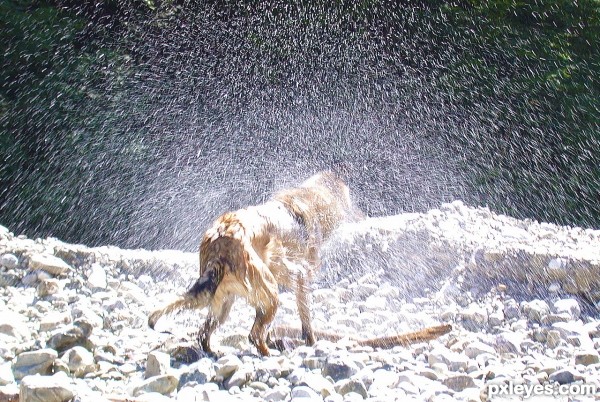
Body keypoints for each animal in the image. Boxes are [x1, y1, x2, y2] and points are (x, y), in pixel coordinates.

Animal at [149, 170, 450, 354]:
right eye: (351, 203)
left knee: (205, 332)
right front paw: (309, 341)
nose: (365, 216)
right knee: (254, 334)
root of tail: (223, 234)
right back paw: (268, 354)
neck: (308, 202)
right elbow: (307, 321)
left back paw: (215, 351)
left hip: (220, 300)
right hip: (269, 293)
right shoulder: (300, 276)